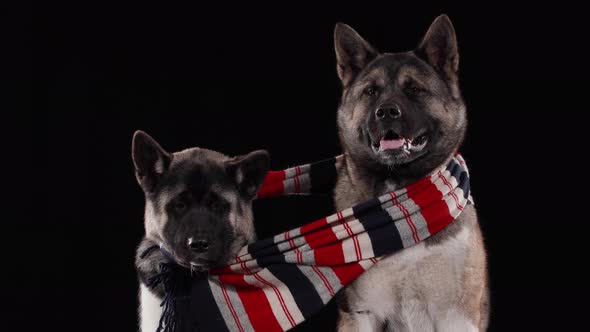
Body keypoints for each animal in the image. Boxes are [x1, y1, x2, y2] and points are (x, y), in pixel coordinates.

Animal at [332, 16, 490, 332]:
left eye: (415, 90)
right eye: (371, 91)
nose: (386, 112)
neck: (401, 196)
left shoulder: (456, 314)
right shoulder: (361, 313)